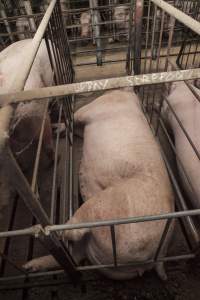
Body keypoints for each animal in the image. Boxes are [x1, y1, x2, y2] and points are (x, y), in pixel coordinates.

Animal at [23, 90, 173, 280]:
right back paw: (28, 266)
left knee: (73, 233)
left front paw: (61, 126)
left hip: (101, 207)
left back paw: (51, 232)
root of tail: (154, 257)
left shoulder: (92, 109)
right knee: (76, 256)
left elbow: (74, 116)